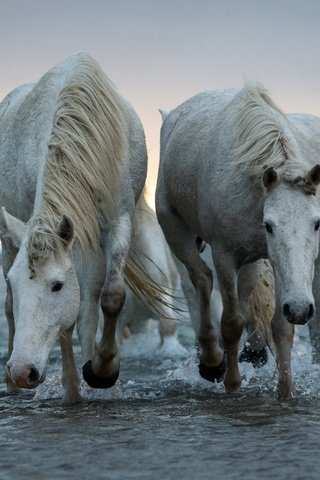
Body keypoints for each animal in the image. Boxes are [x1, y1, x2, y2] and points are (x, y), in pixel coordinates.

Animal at [0, 53, 165, 404]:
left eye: (57, 285)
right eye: (15, 283)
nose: (21, 370)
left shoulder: (117, 223)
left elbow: (109, 296)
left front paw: (102, 370)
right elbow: (66, 320)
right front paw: (73, 388)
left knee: (89, 303)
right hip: (9, 238)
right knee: (8, 308)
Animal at [156, 84, 320, 400]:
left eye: (317, 223)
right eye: (269, 226)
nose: (301, 308)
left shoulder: (271, 262)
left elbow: (281, 327)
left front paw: (285, 393)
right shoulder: (224, 255)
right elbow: (231, 322)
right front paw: (232, 383)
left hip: (250, 262)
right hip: (174, 229)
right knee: (202, 279)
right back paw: (211, 361)